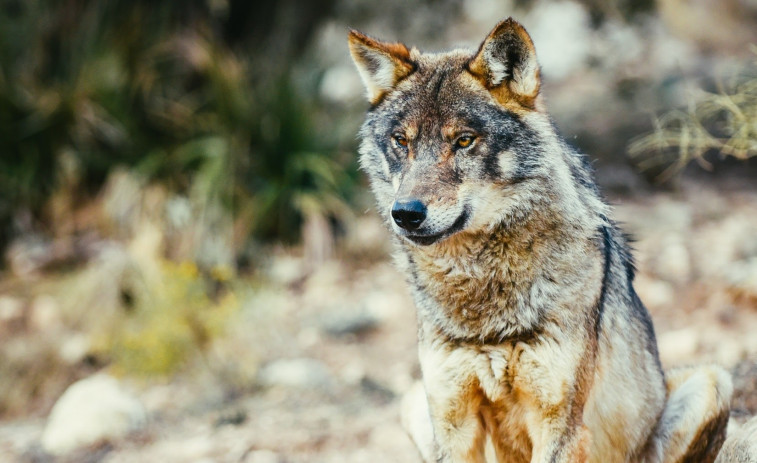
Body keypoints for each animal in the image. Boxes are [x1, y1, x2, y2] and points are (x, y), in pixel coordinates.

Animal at [350, 16, 740, 462]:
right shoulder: (453, 422)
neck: (483, 303)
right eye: (401, 141)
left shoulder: (560, 425)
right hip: (414, 400)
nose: (406, 213)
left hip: (712, 381)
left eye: (464, 140)